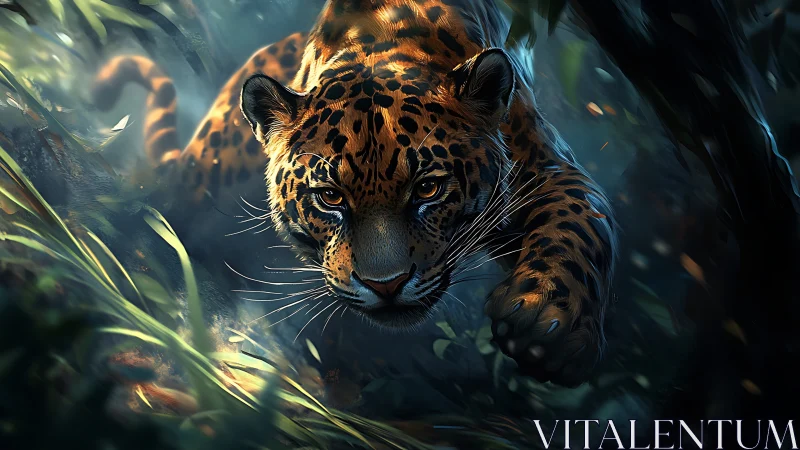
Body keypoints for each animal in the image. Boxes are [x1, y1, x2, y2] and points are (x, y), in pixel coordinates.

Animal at [92, 0, 617, 387]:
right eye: (330, 198)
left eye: (428, 188)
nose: (386, 286)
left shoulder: (547, 166)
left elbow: (578, 225)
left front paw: (546, 323)